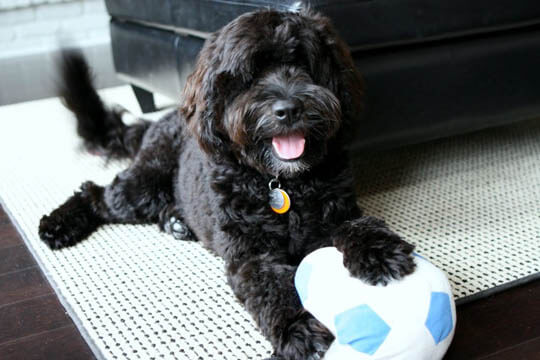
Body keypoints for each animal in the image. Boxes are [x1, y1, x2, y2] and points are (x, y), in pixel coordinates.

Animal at [40, 8, 416, 360]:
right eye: (249, 75)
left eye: (303, 64)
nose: (288, 108)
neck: (282, 184)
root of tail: (155, 122)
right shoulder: (251, 254)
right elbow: (275, 289)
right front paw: (300, 331)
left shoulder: (340, 209)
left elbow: (361, 224)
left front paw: (380, 252)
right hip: (144, 183)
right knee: (95, 193)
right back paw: (59, 225)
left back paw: (176, 222)